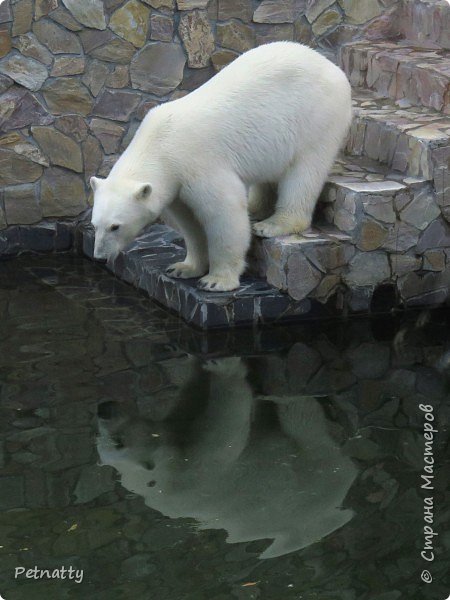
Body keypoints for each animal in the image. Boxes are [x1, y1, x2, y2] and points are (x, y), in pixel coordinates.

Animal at [90, 41, 352, 290]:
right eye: (95, 225)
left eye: (115, 226)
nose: (100, 257)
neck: (160, 144)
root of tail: (334, 68)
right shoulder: (177, 185)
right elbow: (190, 223)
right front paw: (183, 268)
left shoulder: (197, 163)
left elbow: (223, 213)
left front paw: (215, 281)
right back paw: (255, 209)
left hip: (316, 116)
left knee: (304, 171)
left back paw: (274, 224)